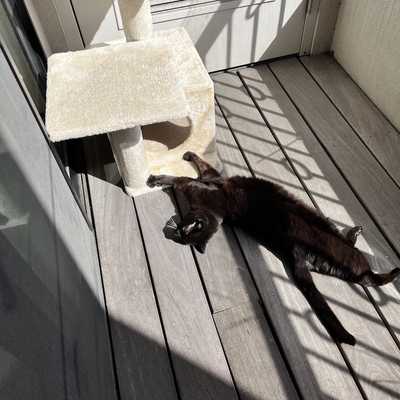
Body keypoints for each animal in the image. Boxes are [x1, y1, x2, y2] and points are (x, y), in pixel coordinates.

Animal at [148, 152, 400, 346]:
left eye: (182, 234)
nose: (174, 234)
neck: (214, 212)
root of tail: (299, 254)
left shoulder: (205, 179)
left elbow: (185, 173)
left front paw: (172, 166)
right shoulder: (208, 179)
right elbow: (187, 173)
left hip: (338, 246)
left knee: (367, 274)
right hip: (337, 257)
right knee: (365, 275)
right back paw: (360, 239)